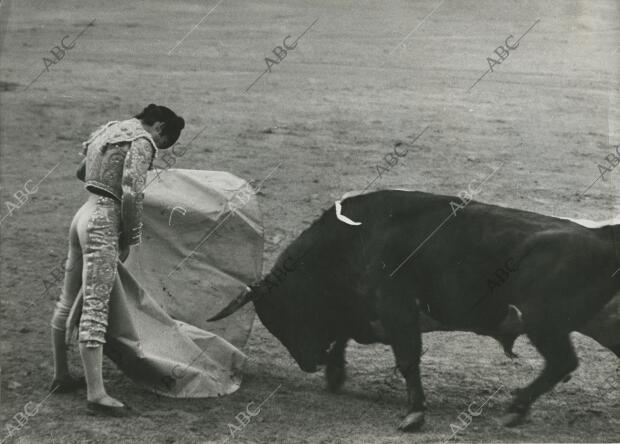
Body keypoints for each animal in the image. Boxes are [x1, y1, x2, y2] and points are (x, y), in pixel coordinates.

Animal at [209, 190, 620, 430]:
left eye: (284, 309)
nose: (310, 362)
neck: (354, 238)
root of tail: (603, 236)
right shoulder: (367, 311)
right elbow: (346, 333)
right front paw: (336, 374)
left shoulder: (396, 308)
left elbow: (407, 358)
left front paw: (413, 414)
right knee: (563, 364)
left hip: (543, 321)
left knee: (562, 363)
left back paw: (516, 407)